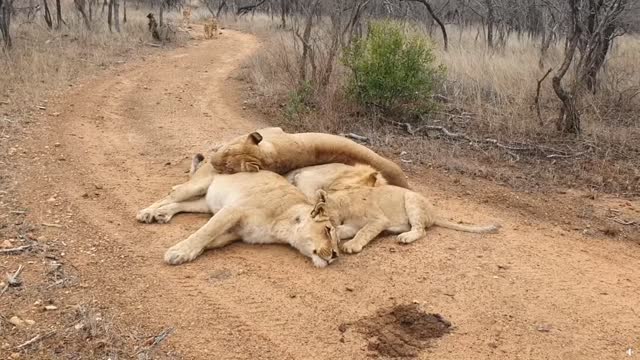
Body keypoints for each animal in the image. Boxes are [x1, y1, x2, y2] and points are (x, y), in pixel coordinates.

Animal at [140, 154, 340, 268]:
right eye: (327, 230)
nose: (335, 256)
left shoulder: (237, 233)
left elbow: (211, 241)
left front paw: (191, 252)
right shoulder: (233, 210)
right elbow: (205, 233)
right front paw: (178, 252)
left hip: (205, 202)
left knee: (180, 204)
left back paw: (162, 214)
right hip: (197, 186)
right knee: (172, 194)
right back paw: (147, 213)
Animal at [316, 167, 500, 253]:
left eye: (317, 211)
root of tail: (434, 214)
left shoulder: (378, 219)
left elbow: (364, 232)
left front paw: (352, 245)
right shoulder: (352, 224)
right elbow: (344, 229)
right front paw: (336, 235)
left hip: (412, 200)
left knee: (421, 230)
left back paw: (405, 237)